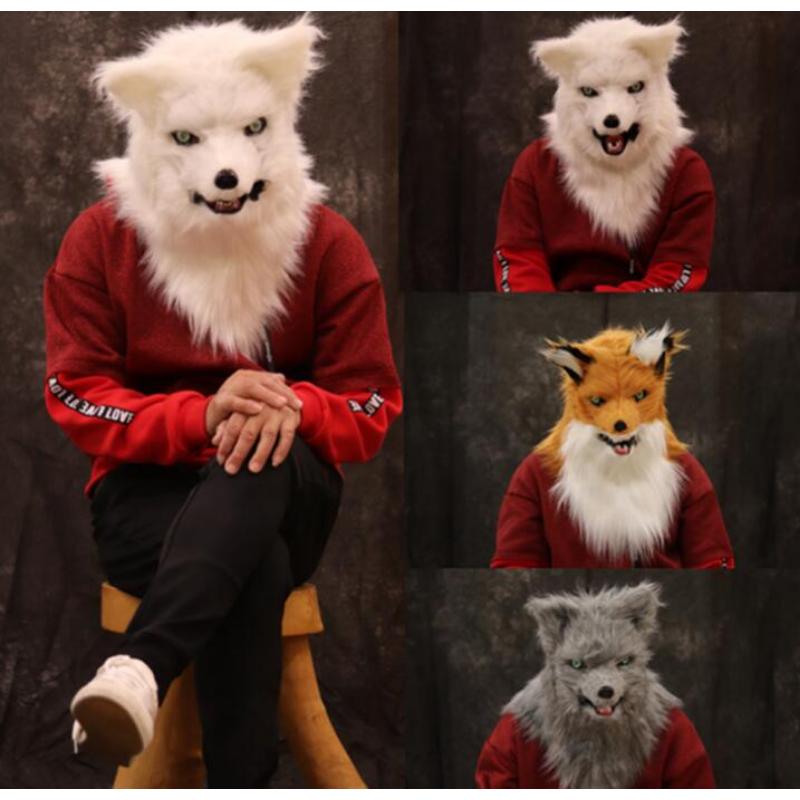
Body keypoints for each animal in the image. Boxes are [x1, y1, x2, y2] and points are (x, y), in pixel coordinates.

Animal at [492, 323, 734, 568]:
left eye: (640, 395)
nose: (620, 425)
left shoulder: (699, 487)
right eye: (597, 401)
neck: (618, 472)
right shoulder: (521, 489)